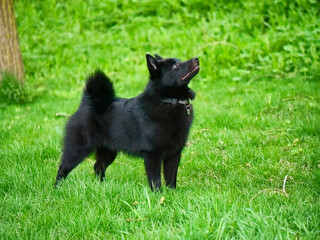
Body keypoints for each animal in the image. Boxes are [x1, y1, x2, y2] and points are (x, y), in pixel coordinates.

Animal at [55, 53, 200, 190]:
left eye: (180, 60)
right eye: (175, 66)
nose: (196, 59)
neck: (170, 101)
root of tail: (86, 103)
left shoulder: (174, 153)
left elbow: (171, 178)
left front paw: (171, 194)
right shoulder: (152, 153)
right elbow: (155, 179)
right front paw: (158, 195)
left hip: (108, 151)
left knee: (98, 166)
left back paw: (102, 186)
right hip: (78, 149)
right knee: (63, 168)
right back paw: (57, 188)